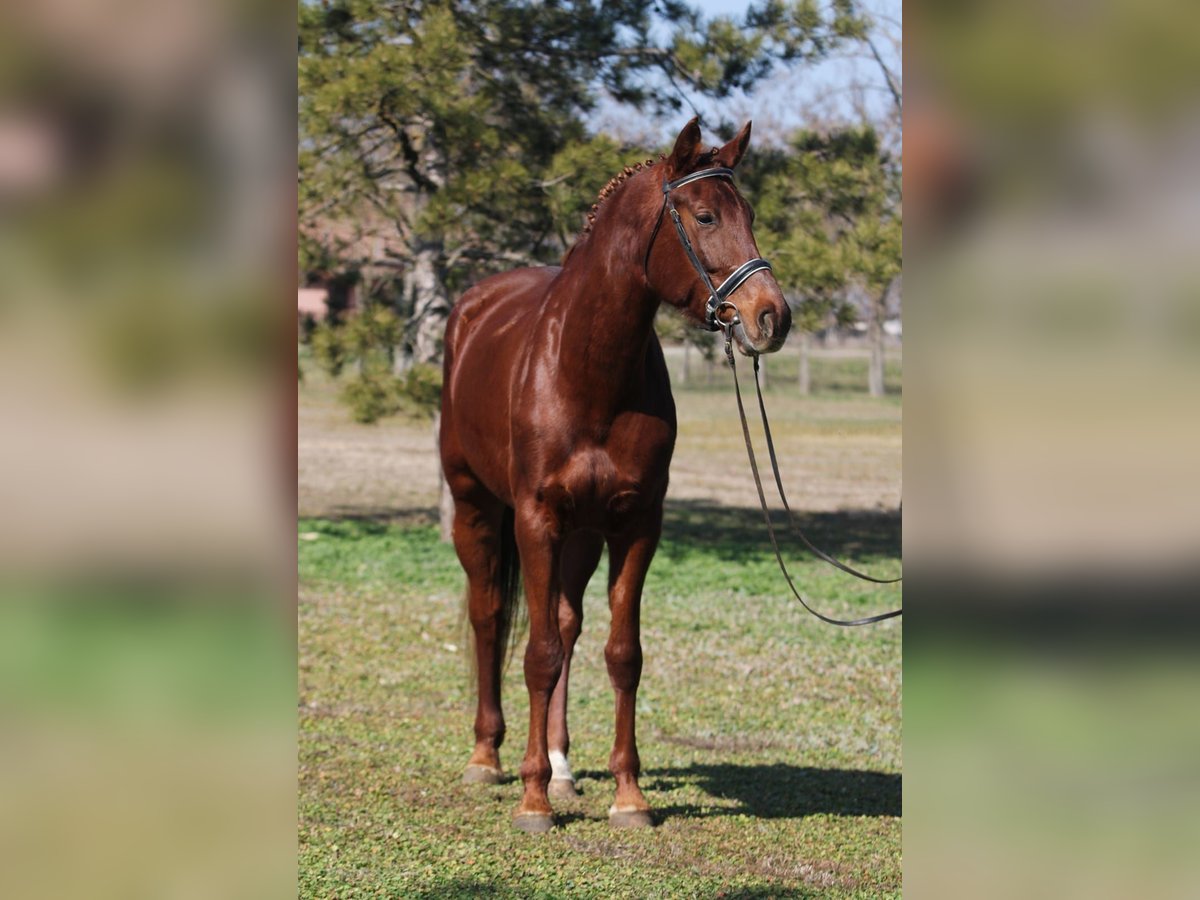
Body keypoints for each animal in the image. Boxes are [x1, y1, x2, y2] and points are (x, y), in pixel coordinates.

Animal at [436, 116, 792, 835]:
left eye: (750, 214)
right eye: (705, 216)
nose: (772, 315)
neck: (587, 369)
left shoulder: (636, 524)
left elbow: (622, 654)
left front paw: (627, 795)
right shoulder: (537, 519)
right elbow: (536, 653)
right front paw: (532, 801)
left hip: (582, 533)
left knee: (567, 621)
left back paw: (562, 765)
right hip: (476, 505)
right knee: (491, 615)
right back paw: (488, 757)